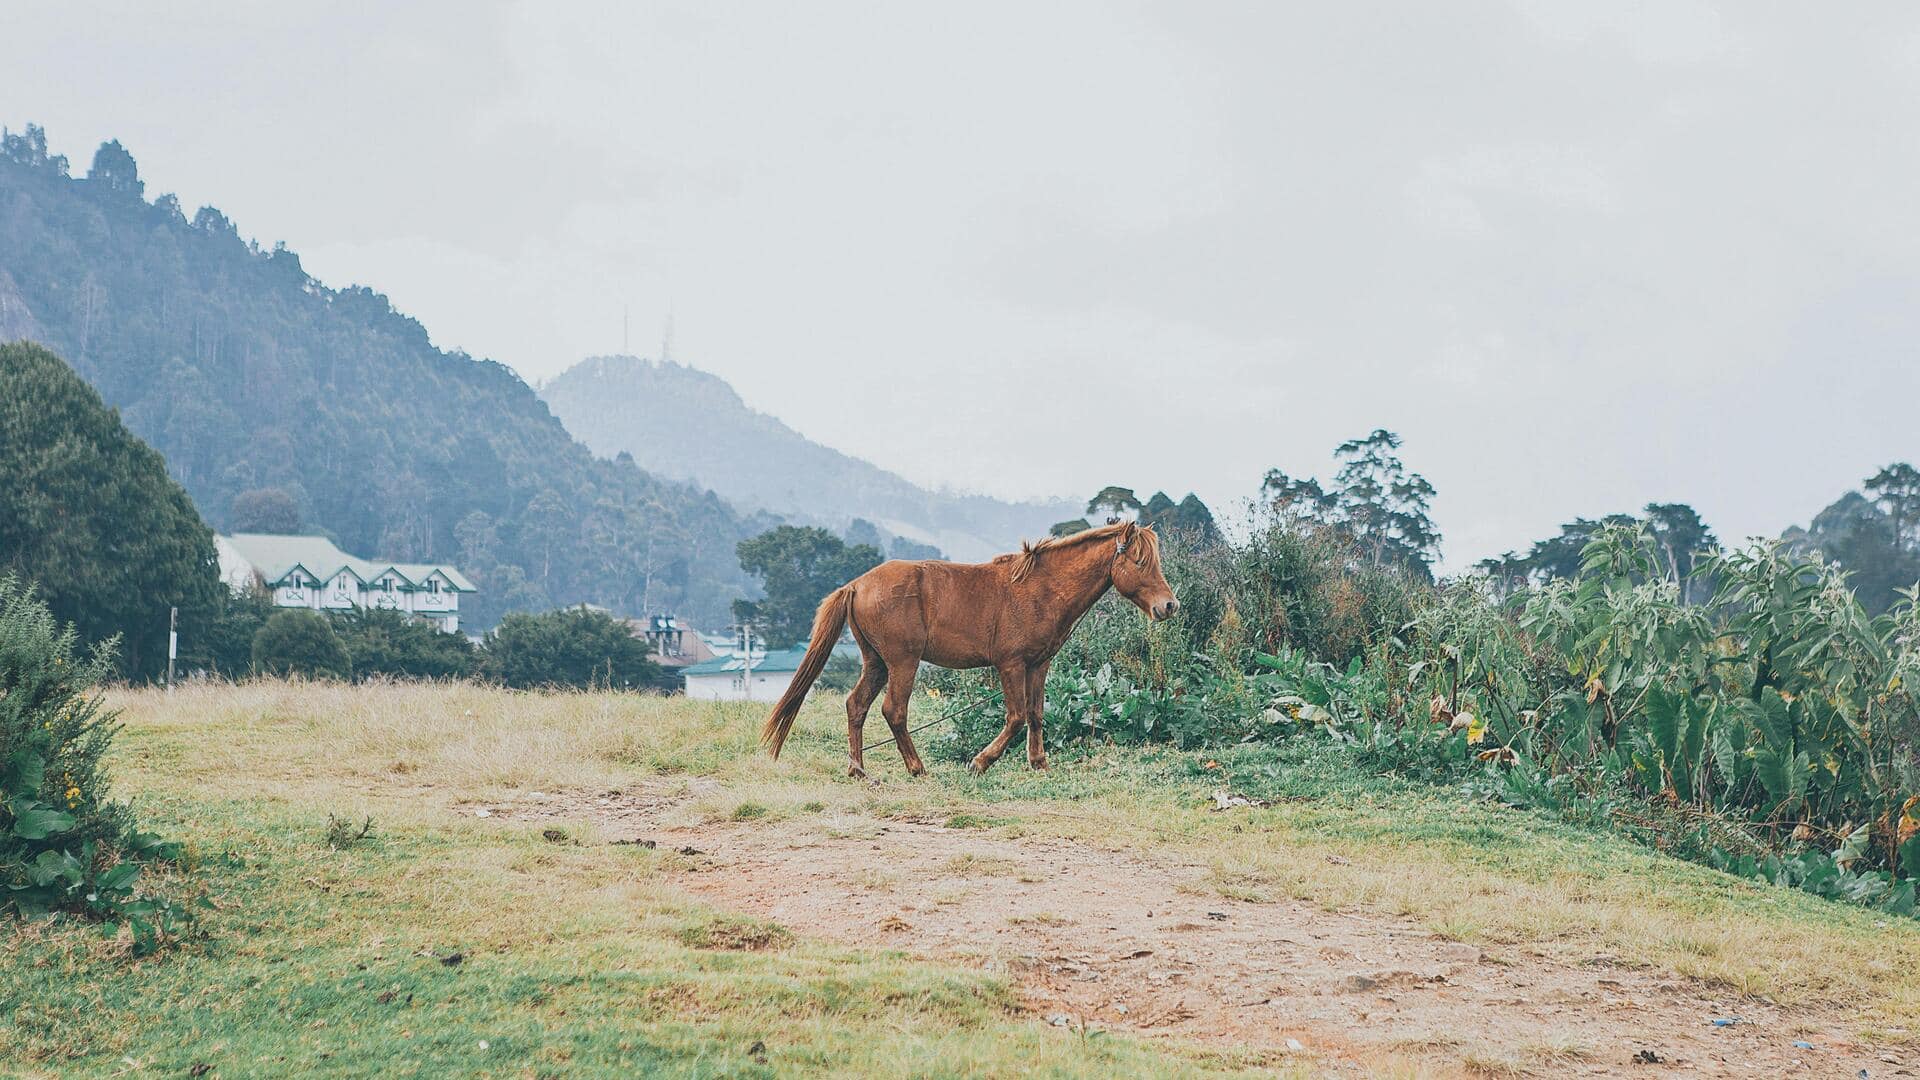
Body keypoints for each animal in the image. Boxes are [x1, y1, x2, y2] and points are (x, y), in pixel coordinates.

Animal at [756, 515, 1175, 772]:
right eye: (1140, 561)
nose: (1168, 605)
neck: (1039, 588)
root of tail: (857, 585)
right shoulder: (1010, 665)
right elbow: (1016, 717)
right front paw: (981, 761)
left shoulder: (1038, 665)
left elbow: (1036, 715)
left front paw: (1039, 763)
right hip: (903, 662)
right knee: (894, 711)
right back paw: (916, 768)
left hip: (876, 663)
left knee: (856, 706)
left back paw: (858, 769)